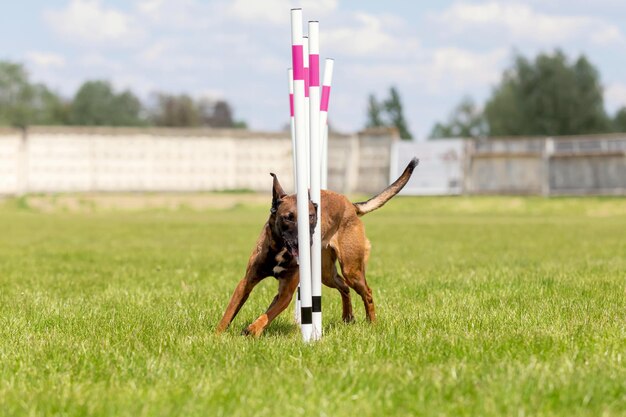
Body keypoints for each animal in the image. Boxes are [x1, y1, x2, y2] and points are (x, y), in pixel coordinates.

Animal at [217, 156, 416, 334]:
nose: (305, 242)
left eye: (311, 217)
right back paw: (348, 317)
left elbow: (267, 315)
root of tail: (351, 205)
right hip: (326, 274)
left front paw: (252, 329)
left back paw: (372, 323)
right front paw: (217, 336)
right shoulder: (246, 283)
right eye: (288, 218)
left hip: (352, 269)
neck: (280, 249)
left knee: (366, 292)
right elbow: (229, 313)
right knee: (344, 287)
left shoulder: (285, 294)